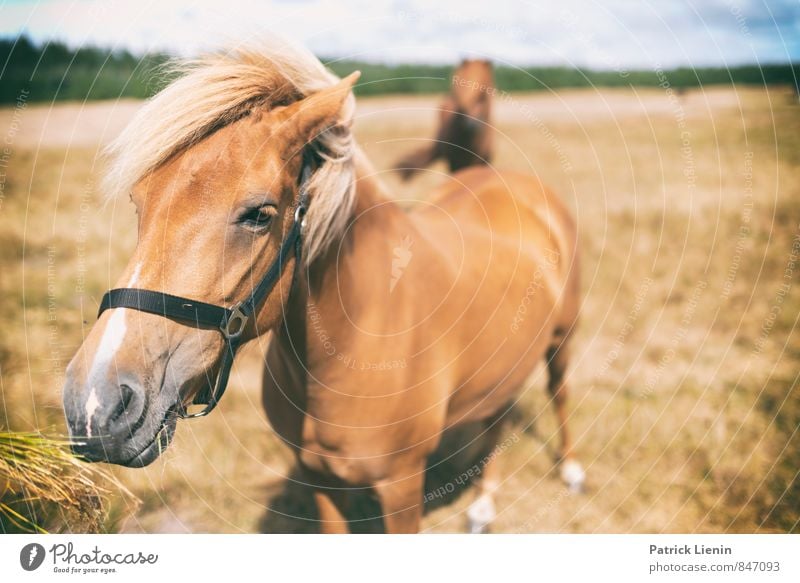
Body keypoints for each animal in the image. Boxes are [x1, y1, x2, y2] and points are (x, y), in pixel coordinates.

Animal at [62, 41, 584, 532]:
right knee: (499, 414)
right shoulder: (319, 479)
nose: (94, 405)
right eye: (139, 202)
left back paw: (566, 472)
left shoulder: (401, 487)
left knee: (558, 392)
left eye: (260, 214)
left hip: (562, 341)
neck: (358, 336)